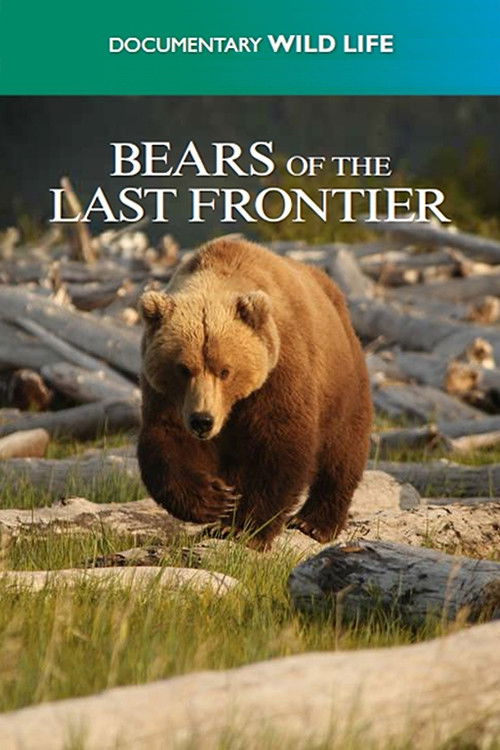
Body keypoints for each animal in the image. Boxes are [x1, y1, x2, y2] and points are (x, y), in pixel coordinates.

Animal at [137, 237, 372, 549]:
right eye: (183, 368)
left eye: (225, 370)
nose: (203, 421)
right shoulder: (168, 395)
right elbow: (167, 439)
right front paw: (216, 500)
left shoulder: (280, 371)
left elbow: (279, 445)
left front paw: (246, 528)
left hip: (342, 382)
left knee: (343, 451)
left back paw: (313, 522)